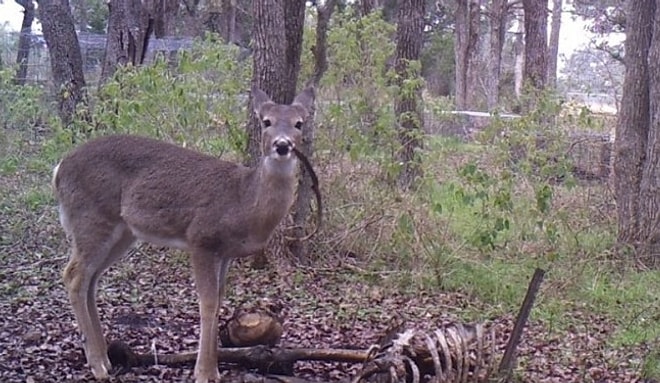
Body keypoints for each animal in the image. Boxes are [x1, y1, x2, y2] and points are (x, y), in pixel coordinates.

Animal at [52, 85, 316, 382]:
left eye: (299, 123)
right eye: (266, 121)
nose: (282, 145)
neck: (243, 202)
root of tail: (59, 169)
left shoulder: (225, 253)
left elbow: (220, 300)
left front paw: (214, 369)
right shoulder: (201, 239)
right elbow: (208, 303)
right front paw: (204, 373)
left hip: (122, 232)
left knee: (91, 279)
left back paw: (106, 359)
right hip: (91, 217)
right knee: (73, 275)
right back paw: (97, 365)